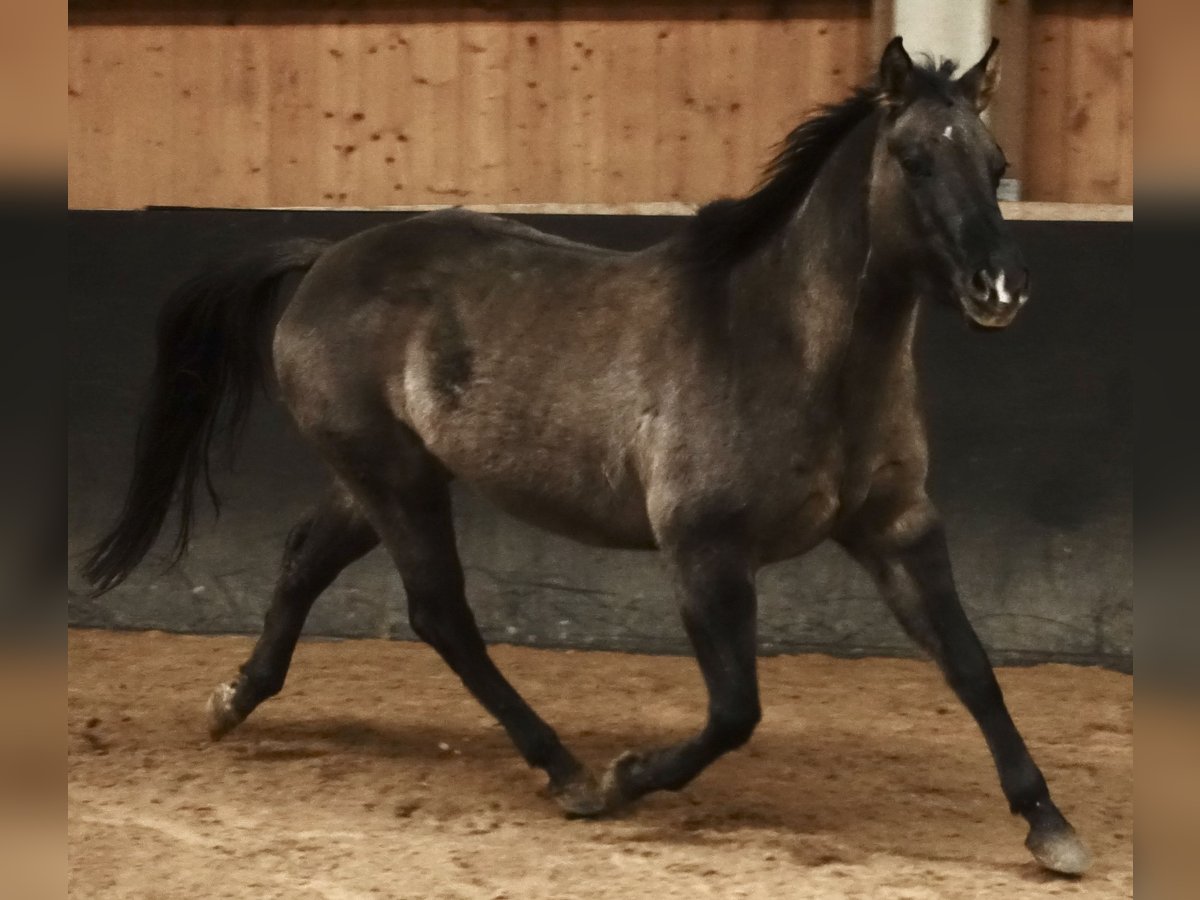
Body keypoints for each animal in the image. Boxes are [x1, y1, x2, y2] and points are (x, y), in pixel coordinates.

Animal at [79, 38, 1094, 878]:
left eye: (997, 165)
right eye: (914, 160)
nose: (1001, 287)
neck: (788, 349)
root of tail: (328, 255)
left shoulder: (897, 529)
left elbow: (971, 666)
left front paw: (1050, 826)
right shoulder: (703, 549)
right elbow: (735, 710)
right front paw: (623, 778)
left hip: (379, 478)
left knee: (304, 562)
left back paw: (232, 700)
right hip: (396, 478)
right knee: (440, 613)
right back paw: (564, 768)